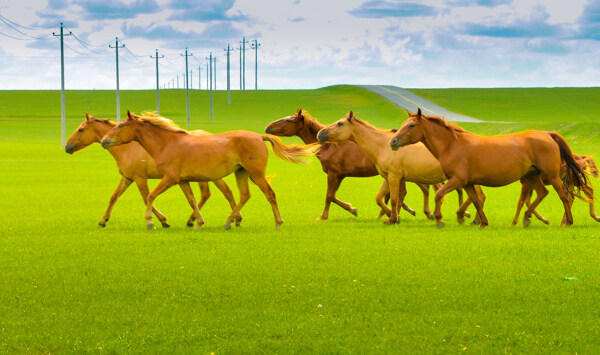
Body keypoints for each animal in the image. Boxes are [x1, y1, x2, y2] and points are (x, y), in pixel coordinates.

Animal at [65, 112, 239, 228]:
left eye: (80, 129)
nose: (67, 147)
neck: (128, 147)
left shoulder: (140, 178)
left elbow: (146, 197)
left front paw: (162, 221)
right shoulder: (127, 178)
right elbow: (114, 197)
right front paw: (103, 220)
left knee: (217, 193)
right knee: (220, 193)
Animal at [102, 110, 318, 231]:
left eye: (121, 126)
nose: (104, 141)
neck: (167, 143)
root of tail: (259, 136)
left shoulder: (169, 179)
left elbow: (150, 196)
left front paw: (150, 222)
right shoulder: (182, 181)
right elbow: (192, 200)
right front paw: (198, 223)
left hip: (255, 174)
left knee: (270, 194)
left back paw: (278, 223)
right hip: (241, 173)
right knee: (244, 195)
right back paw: (229, 221)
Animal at [266, 108, 436, 220]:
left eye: (288, 120)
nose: (267, 127)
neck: (331, 146)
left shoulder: (334, 174)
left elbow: (329, 196)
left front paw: (324, 216)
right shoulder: (340, 176)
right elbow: (333, 196)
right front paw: (353, 209)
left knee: (420, 189)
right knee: (412, 191)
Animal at [316, 110, 476, 224]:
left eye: (340, 123)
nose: (320, 134)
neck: (382, 145)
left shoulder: (394, 177)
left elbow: (393, 198)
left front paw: (392, 219)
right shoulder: (388, 177)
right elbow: (380, 198)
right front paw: (391, 216)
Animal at [390, 108, 592, 228]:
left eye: (411, 125)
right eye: (403, 125)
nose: (393, 142)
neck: (452, 145)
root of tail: (547, 134)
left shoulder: (457, 180)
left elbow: (439, 195)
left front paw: (439, 219)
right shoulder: (467, 183)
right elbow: (476, 201)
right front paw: (482, 223)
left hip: (551, 176)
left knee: (564, 196)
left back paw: (567, 222)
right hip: (532, 176)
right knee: (543, 193)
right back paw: (526, 218)